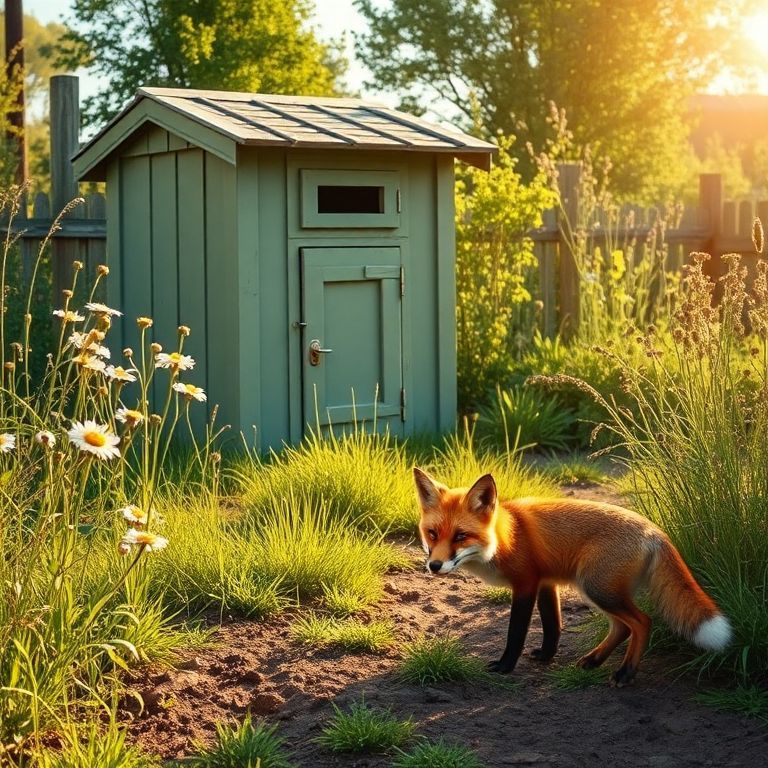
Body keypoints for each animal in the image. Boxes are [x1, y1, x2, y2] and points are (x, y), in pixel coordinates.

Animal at [413, 467, 732, 686]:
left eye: (460, 536)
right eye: (432, 533)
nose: (435, 566)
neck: (506, 537)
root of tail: (654, 530)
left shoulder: (526, 584)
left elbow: (516, 632)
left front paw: (506, 666)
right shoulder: (546, 583)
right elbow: (553, 625)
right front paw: (546, 656)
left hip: (597, 588)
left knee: (642, 622)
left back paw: (626, 673)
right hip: (597, 590)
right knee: (622, 627)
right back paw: (594, 660)